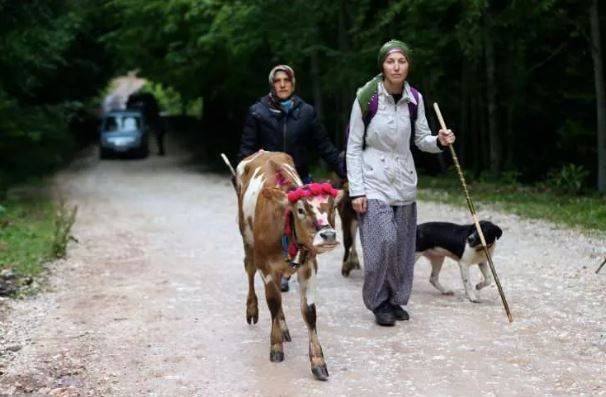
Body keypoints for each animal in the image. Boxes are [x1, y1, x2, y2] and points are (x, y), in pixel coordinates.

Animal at [235, 150, 344, 378]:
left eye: (332, 207)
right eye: (300, 209)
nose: (328, 235)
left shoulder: (308, 266)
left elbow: (309, 313)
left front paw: (318, 361)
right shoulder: (266, 266)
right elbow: (273, 302)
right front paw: (275, 346)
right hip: (247, 241)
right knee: (250, 270)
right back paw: (252, 309)